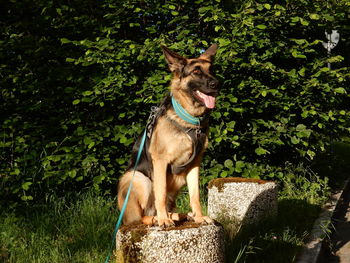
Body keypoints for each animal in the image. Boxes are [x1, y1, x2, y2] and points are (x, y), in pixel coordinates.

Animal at [119, 44, 220, 228]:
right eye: (196, 71)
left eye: (211, 70)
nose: (217, 84)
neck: (190, 121)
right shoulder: (160, 161)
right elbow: (161, 194)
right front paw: (163, 219)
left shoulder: (194, 164)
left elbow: (195, 196)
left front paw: (199, 217)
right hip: (137, 178)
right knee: (143, 215)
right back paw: (157, 218)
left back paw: (183, 215)